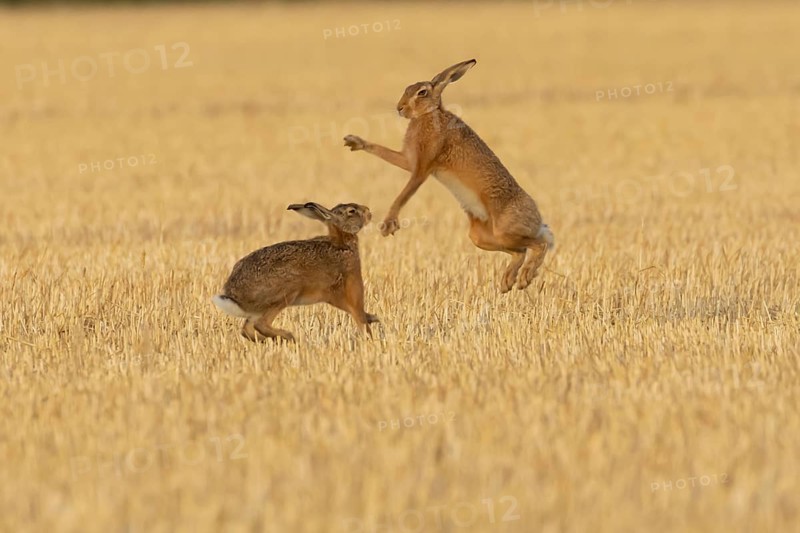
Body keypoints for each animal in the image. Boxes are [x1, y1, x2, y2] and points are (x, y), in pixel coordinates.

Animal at [212, 202, 379, 342]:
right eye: (352, 211)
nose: (369, 212)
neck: (343, 243)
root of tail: (234, 295)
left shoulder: (330, 295)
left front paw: (373, 318)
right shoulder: (350, 284)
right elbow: (358, 313)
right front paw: (370, 336)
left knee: (247, 329)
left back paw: (272, 340)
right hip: (287, 291)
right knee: (260, 324)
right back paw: (289, 337)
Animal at [344, 59, 554, 293]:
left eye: (422, 92)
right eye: (407, 88)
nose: (400, 108)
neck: (429, 115)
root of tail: (538, 219)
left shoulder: (423, 168)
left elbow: (405, 193)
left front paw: (389, 224)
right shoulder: (410, 161)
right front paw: (354, 142)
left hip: (505, 230)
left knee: (540, 244)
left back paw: (525, 277)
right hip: (482, 237)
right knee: (520, 251)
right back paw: (508, 282)